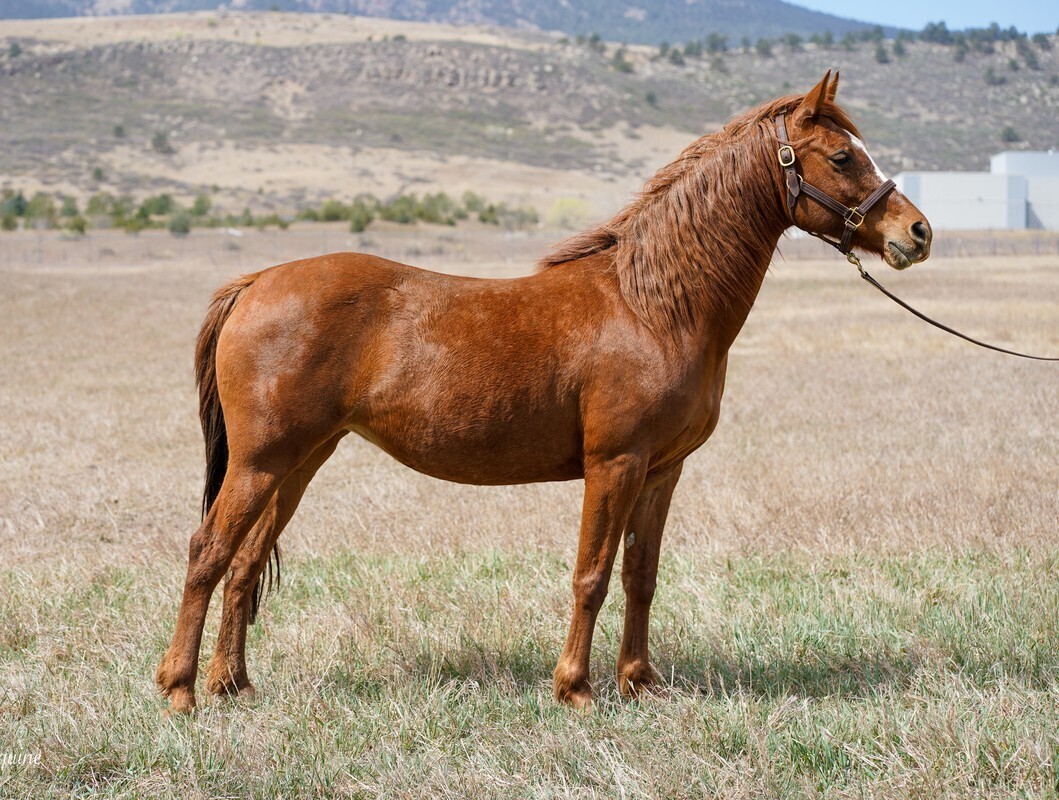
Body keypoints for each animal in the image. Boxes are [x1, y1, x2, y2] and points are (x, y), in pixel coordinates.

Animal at [156, 71, 932, 714]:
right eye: (842, 158)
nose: (917, 232)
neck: (652, 305)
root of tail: (255, 281)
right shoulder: (614, 464)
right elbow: (591, 574)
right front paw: (576, 690)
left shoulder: (663, 470)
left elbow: (640, 575)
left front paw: (639, 683)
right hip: (261, 462)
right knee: (208, 553)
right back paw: (181, 691)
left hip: (299, 461)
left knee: (244, 565)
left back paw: (234, 685)